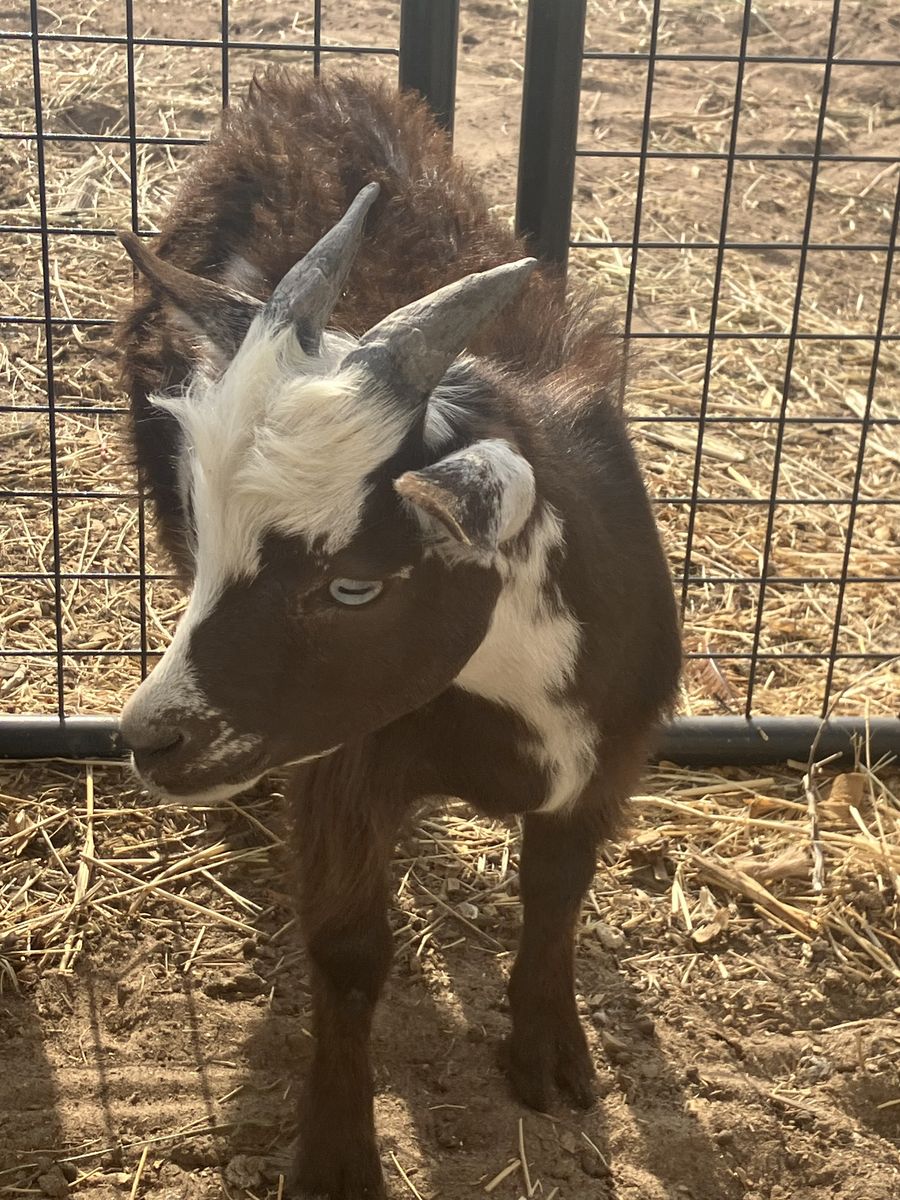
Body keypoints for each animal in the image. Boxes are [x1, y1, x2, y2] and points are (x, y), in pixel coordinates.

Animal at [117, 71, 681, 1200]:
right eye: (213, 526)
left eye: (354, 586)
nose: (153, 740)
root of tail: (294, 94)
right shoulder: (347, 766)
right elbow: (348, 951)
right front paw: (337, 1155)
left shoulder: (612, 750)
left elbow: (558, 886)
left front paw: (549, 1055)